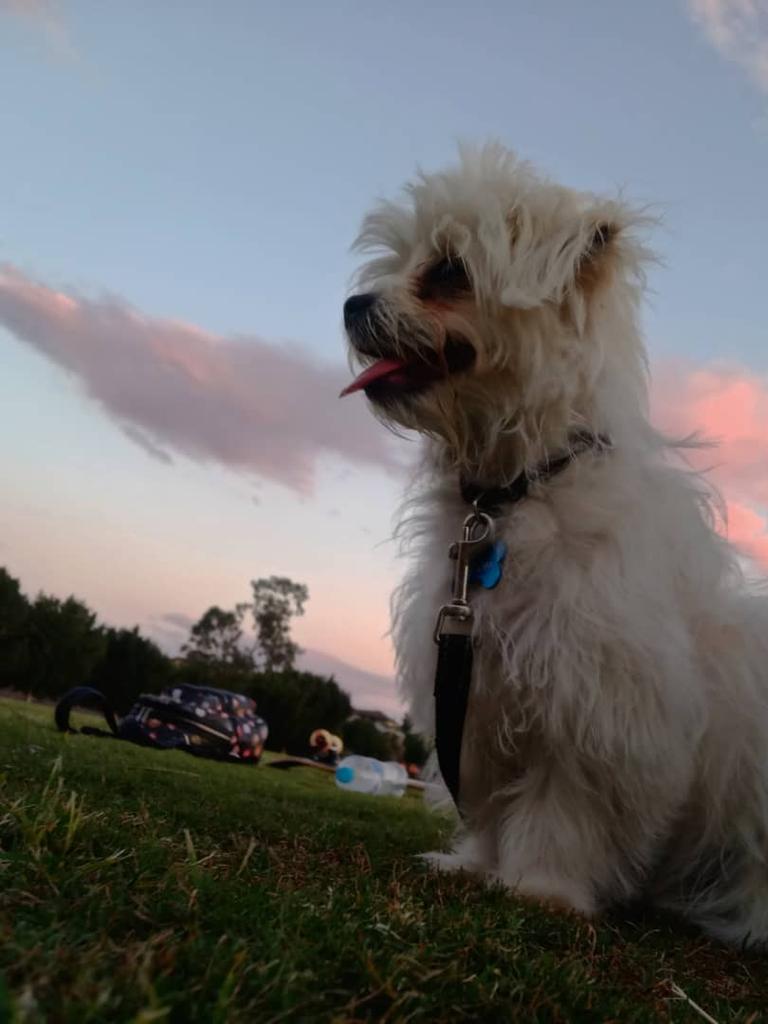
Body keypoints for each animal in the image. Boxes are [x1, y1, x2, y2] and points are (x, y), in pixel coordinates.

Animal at [342, 142, 768, 942]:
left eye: (448, 271)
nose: (352, 305)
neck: (511, 494)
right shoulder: (476, 693)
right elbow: (485, 797)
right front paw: (474, 864)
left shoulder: (594, 700)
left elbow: (563, 809)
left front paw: (542, 888)